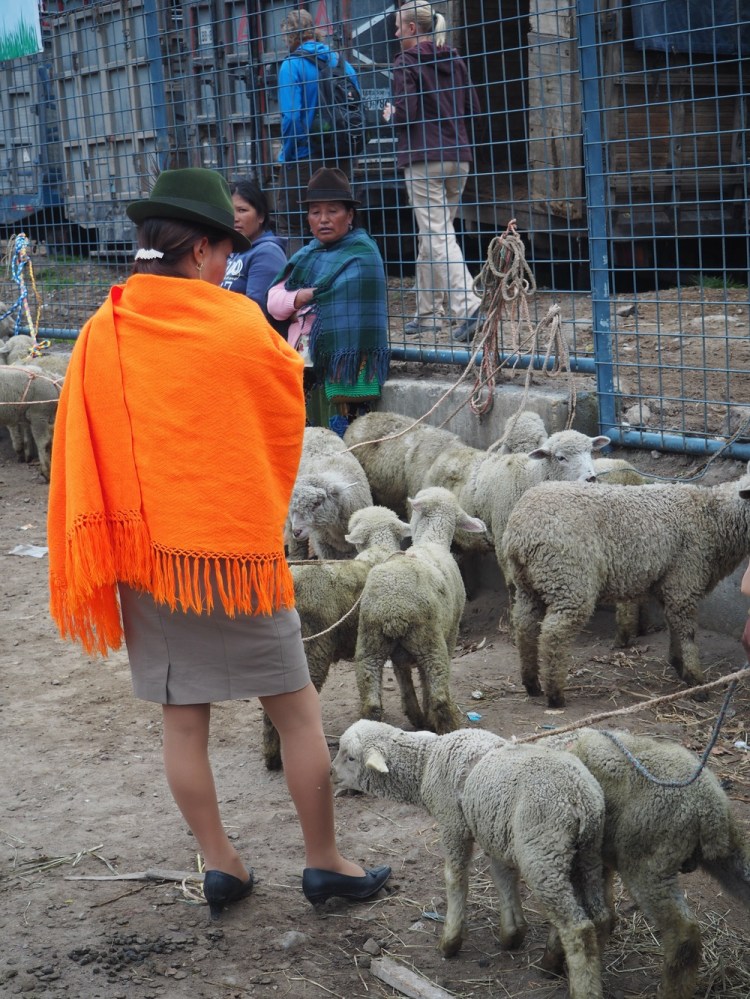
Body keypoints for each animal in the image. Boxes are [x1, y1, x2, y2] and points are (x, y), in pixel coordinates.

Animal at [332, 720, 609, 999]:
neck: (426, 762)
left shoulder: (453, 825)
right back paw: (558, 961)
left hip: (543, 850)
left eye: (351, 756)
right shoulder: (495, 832)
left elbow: (455, 879)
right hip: (587, 854)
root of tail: (581, 798)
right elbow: (503, 878)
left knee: (577, 927)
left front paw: (450, 942)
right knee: (599, 917)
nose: (330, 772)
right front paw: (512, 934)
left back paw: (579, 985)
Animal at [353, 486, 487, 733]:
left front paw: (418, 715)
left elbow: (406, 680)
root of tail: (393, 611)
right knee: (440, 696)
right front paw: (426, 715)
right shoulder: (451, 632)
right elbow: (425, 682)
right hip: (430, 641)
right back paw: (448, 728)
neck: (432, 540)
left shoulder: (398, 656)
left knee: (371, 701)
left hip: (370, 643)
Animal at [502, 463, 750, 707]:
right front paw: (696, 681)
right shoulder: (684, 580)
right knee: (554, 634)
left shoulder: (669, 583)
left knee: (525, 626)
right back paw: (555, 696)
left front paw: (678, 663)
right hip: (568, 579)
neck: (713, 518)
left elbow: (673, 625)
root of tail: (520, 533)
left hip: (529, 584)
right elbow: (686, 632)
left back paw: (532, 684)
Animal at [541, 727, 750, 999]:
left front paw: (553, 960)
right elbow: (603, 908)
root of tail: (709, 806)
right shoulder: (596, 859)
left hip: (648, 864)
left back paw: (672, 991)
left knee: (684, 935)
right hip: (727, 851)